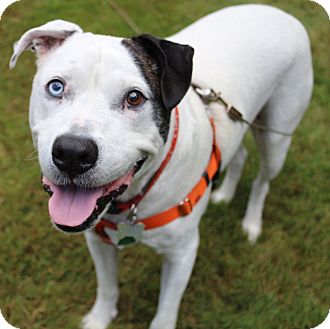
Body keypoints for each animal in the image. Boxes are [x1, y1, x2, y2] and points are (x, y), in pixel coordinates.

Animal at [10, 4, 312, 328]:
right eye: (56, 86)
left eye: (134, 97)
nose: (72, 153)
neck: (133, 200)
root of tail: (278, 10)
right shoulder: (97, 240)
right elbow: (107, 286)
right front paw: (100, 318)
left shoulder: (182, 254)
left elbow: (165, 311)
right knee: (240, 154)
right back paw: (224, 194)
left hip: (276, 137)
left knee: (263, 181)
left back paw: (252, 223)